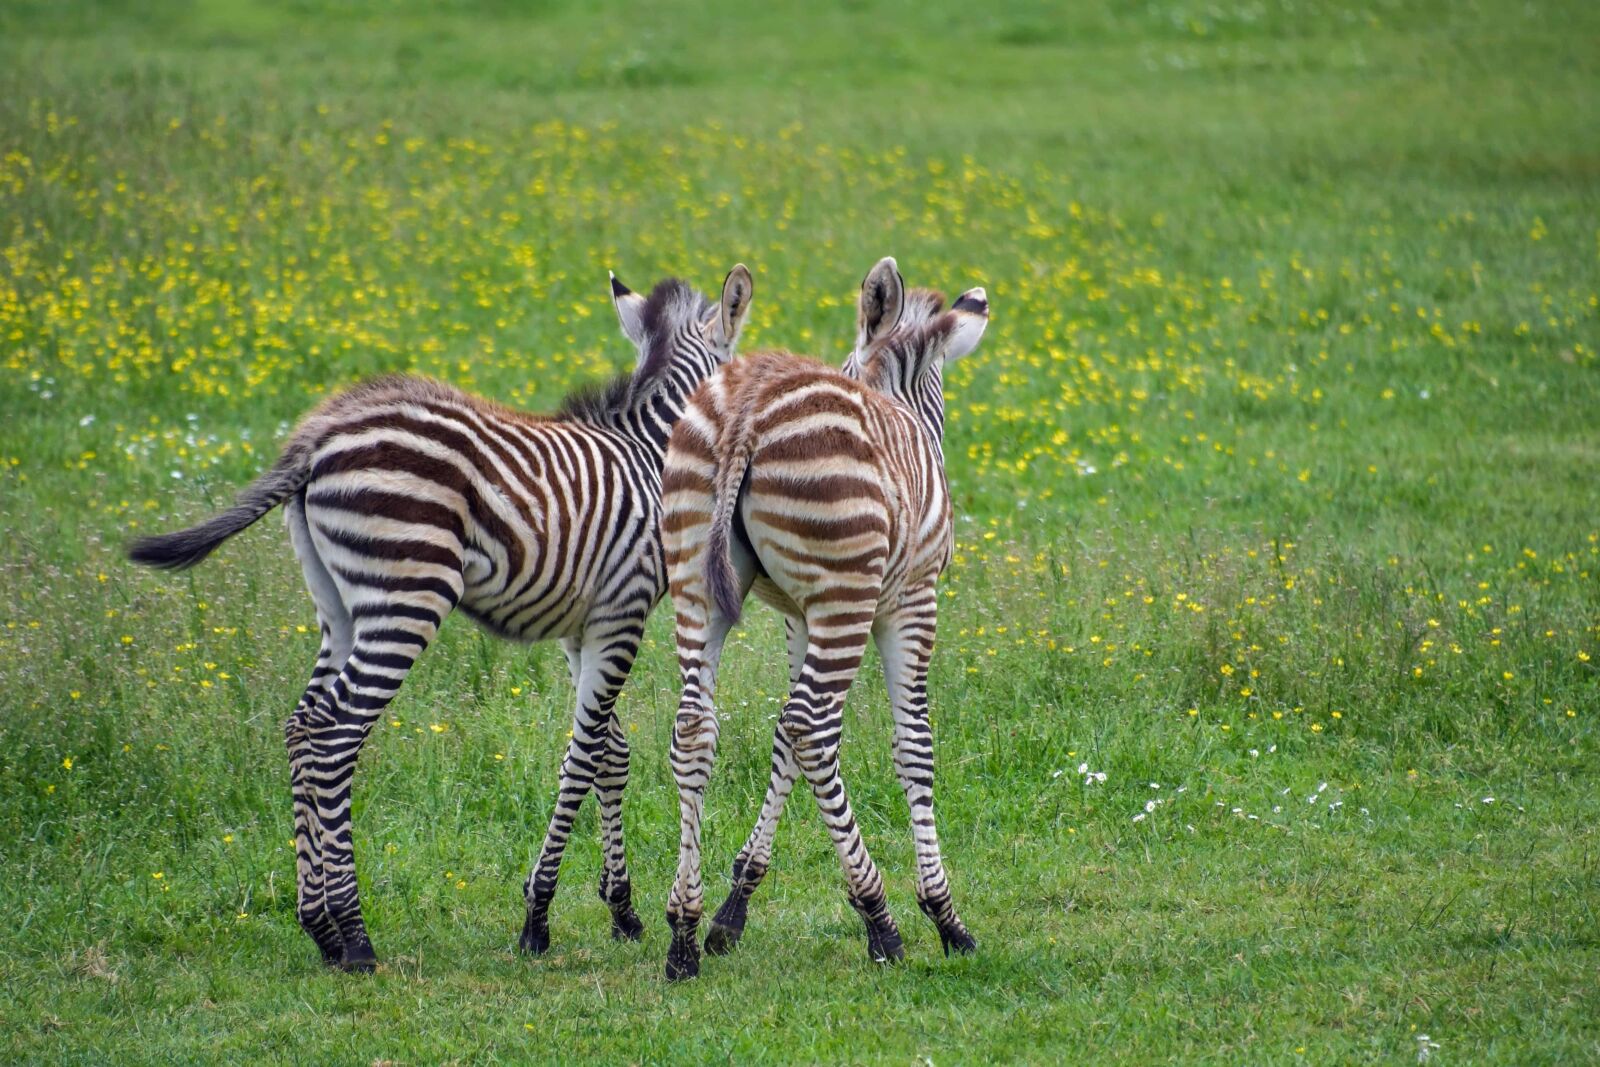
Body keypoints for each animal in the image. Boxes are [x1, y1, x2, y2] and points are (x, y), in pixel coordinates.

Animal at [127, 265, 754, 971]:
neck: (650, 454)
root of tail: (317, 439)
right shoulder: (622, 612)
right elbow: (582, 755)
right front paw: (538, 917)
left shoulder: (582, 625)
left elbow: (608, 752)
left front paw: (621, 909)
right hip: (408, 595)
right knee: (336, 734)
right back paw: (355, 937)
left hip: (339, 606)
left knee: (302, 724)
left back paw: (318, 928)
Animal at [657, 257, 988, 980]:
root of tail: (748, 410)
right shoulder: (910, 601)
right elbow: (912, 747)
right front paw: (944, 915)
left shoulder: (796, 615)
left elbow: (781, 741)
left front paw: (734, 904)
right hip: (846, 593)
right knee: (811, 727)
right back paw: (880, 920)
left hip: (696, 584)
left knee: (697, 730)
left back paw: (684, 933)